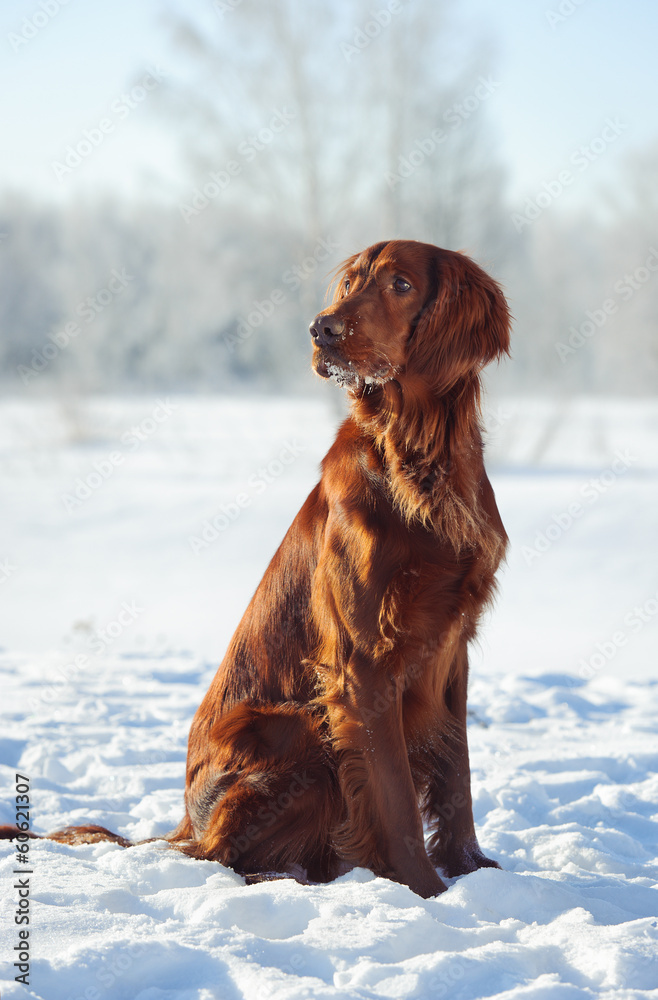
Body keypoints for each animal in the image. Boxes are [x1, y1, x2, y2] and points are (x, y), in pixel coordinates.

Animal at [1, 240, 508, 900]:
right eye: (350, 282)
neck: (417, 455)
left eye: (399, 283)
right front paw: (429, 893)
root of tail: (185, 821)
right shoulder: (362, 665)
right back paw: (283, 876)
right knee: (216, 855)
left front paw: (474, 871)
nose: (322, 328)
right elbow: (395, 798)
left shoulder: (452, 647)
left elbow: (457, 776)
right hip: (293, 725)